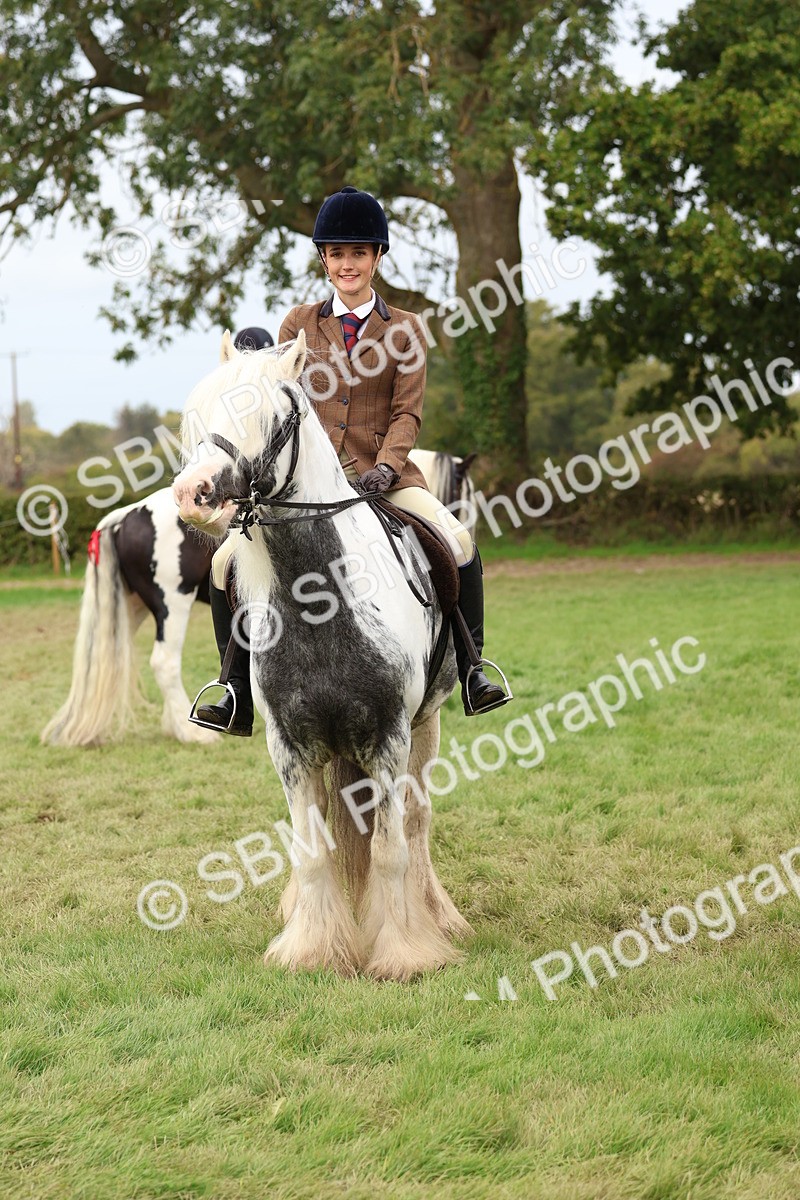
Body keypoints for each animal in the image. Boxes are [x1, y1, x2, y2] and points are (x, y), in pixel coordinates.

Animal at [42, 451, 477, 747]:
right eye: (466, 488)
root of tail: (125, 515)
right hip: (172, 603)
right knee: (163, 661)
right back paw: (191, 733)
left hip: (133, 608)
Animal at [172, 330, 472, 979]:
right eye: (199, 415)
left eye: (274, 418)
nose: (192, 495)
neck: (321, 599)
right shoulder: (289, 745)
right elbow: (312, 852)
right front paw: (312, 950)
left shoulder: (389, 737)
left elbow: (390, 849)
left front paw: (403, 954)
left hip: (428, 724)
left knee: (417, 823)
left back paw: (437, 916)